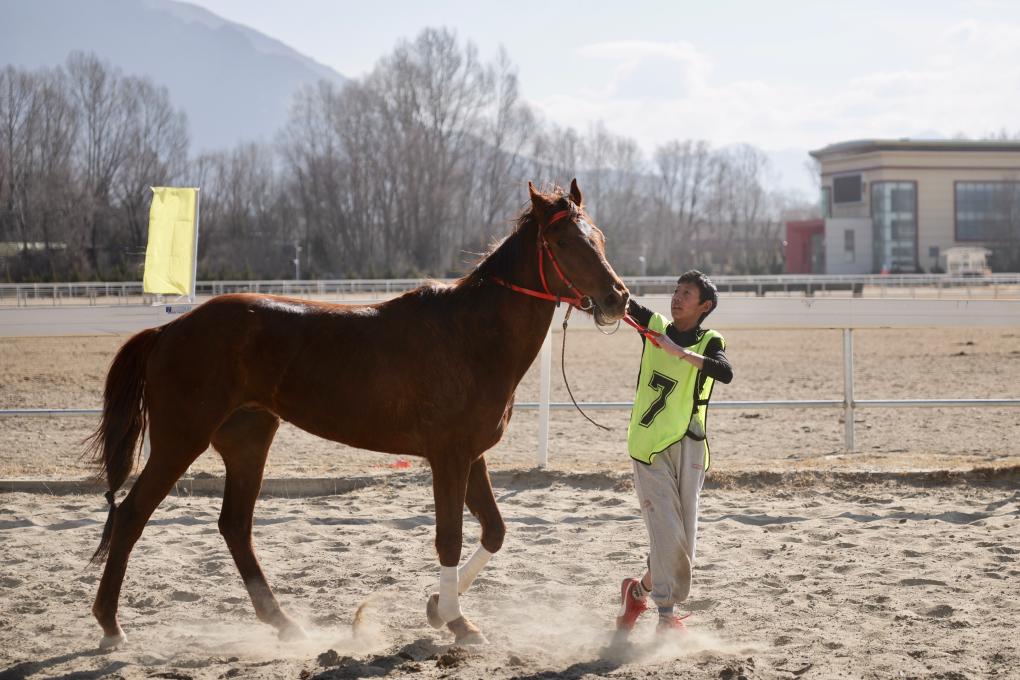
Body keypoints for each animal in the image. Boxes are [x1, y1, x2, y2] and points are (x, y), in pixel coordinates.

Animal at [84, 179, 629, 649]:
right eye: (562, 240)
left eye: (600, 236)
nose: (618, 298)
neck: (469, 334)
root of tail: (168, 331)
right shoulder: (448, 457)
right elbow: (449, 538)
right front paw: (457, 622)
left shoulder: (472, 455)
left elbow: (493, 531)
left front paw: (437, 608)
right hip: (182, 440)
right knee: (132, 515)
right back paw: (110, 625)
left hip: (248, 441)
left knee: (234, 526)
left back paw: (284, 623)